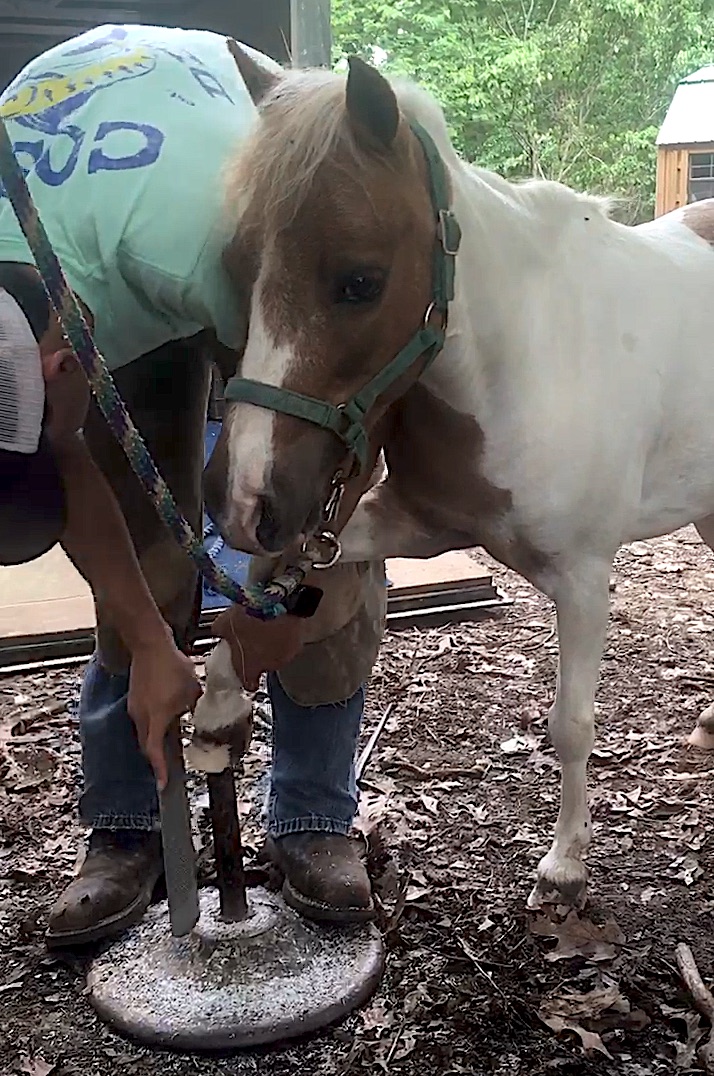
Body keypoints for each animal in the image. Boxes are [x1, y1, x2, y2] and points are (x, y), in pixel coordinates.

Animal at [202, 50, 714, 908]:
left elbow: (572, 726)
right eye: (238, 268)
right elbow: (256, 601)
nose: (244, 501)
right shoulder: (403, 523)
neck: (525, 358)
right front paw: (216, 700)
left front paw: (565, 865)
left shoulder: (584, 576)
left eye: (359, 281)